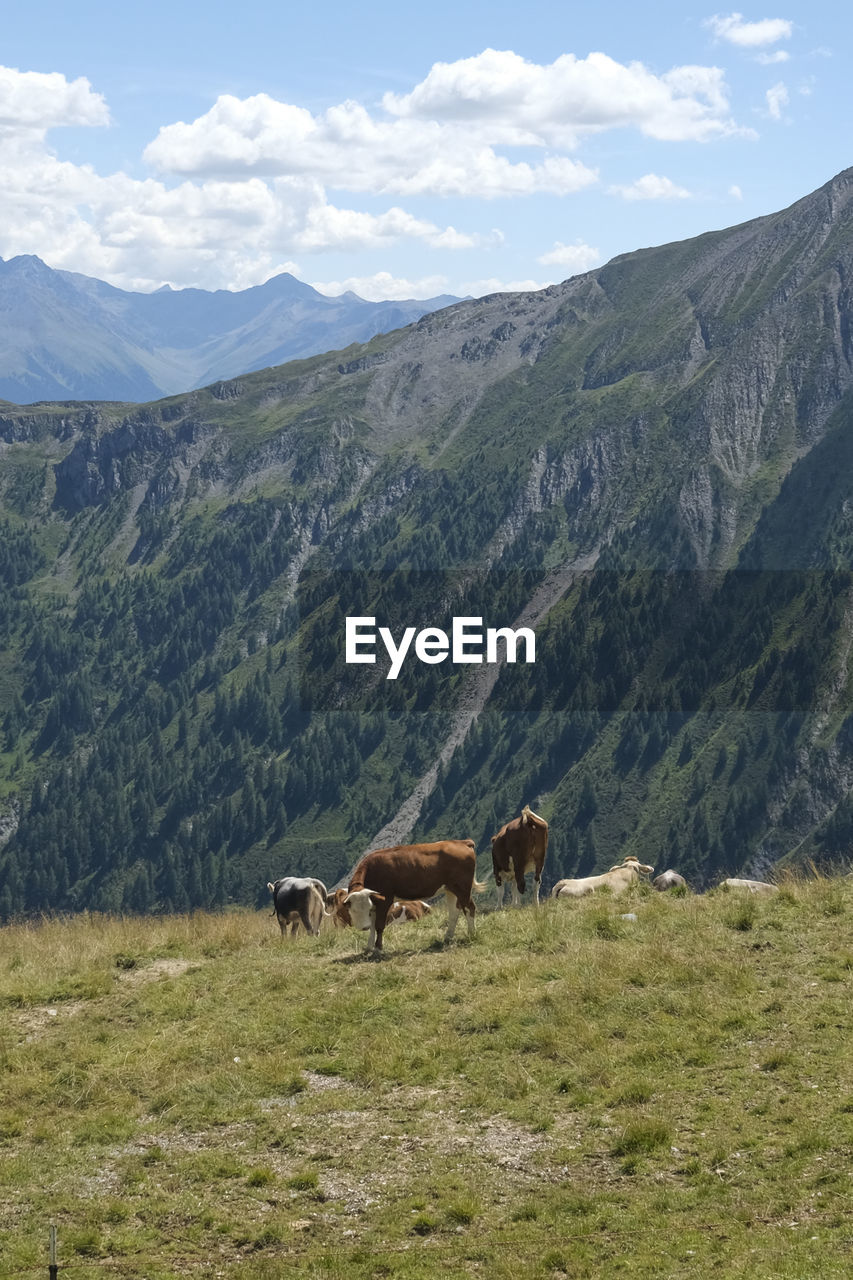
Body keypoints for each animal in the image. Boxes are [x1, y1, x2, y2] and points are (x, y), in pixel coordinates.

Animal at [343, 839, 481, 952]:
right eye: (353, 910)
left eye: (366, 909)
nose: (363, 927)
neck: (372, 871)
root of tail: (462, 842)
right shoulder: (376, 904)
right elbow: (373, 926)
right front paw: (369, 946)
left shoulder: (385, 900)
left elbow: (379, 926)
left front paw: (378, 948)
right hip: (450, 889)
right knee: (454, 912)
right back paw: (448, 937)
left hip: (462, 888)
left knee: (469, 908)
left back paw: (472, 934)